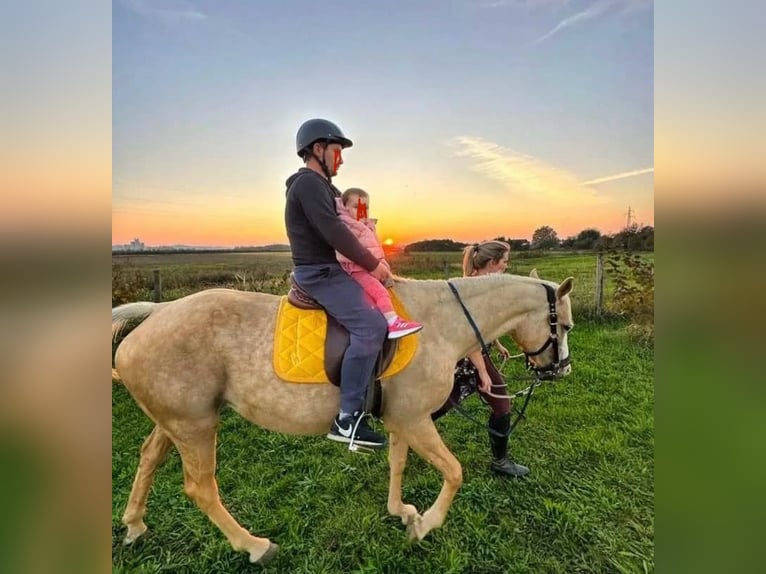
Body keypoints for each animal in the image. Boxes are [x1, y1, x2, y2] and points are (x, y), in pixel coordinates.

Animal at [111, 270, 574, 565]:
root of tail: (157, 313)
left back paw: (134, 524)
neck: (439, 323)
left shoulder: (403, 421)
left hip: (178, 421)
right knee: (200, 488)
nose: (561, 370)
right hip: (195, 426)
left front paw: (401, 511)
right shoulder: (416, 421)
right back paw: (255, 545)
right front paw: (425, 525)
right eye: (566, 326)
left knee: (148, 457)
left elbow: (398, 463)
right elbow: (455, 472)